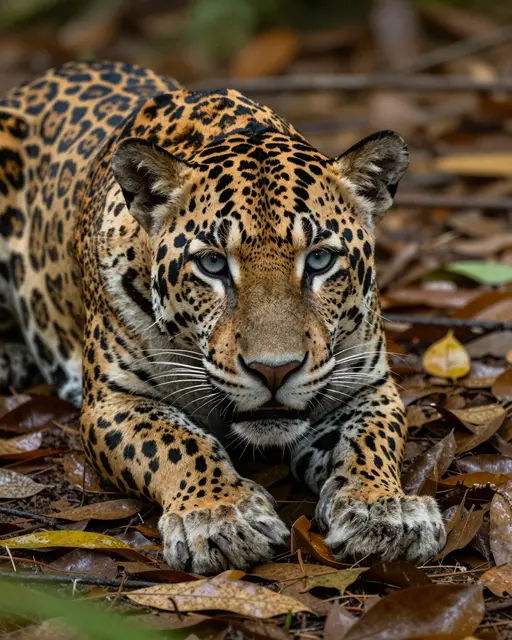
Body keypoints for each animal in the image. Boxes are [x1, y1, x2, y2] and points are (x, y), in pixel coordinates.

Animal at [0, 60, 446, 574]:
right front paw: (220, 515)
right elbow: (175, 442)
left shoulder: (366, 386)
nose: (274, 370)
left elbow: (371, 440)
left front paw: (383, 509)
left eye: (319, 260)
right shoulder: (112, 401)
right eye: (212, 264)